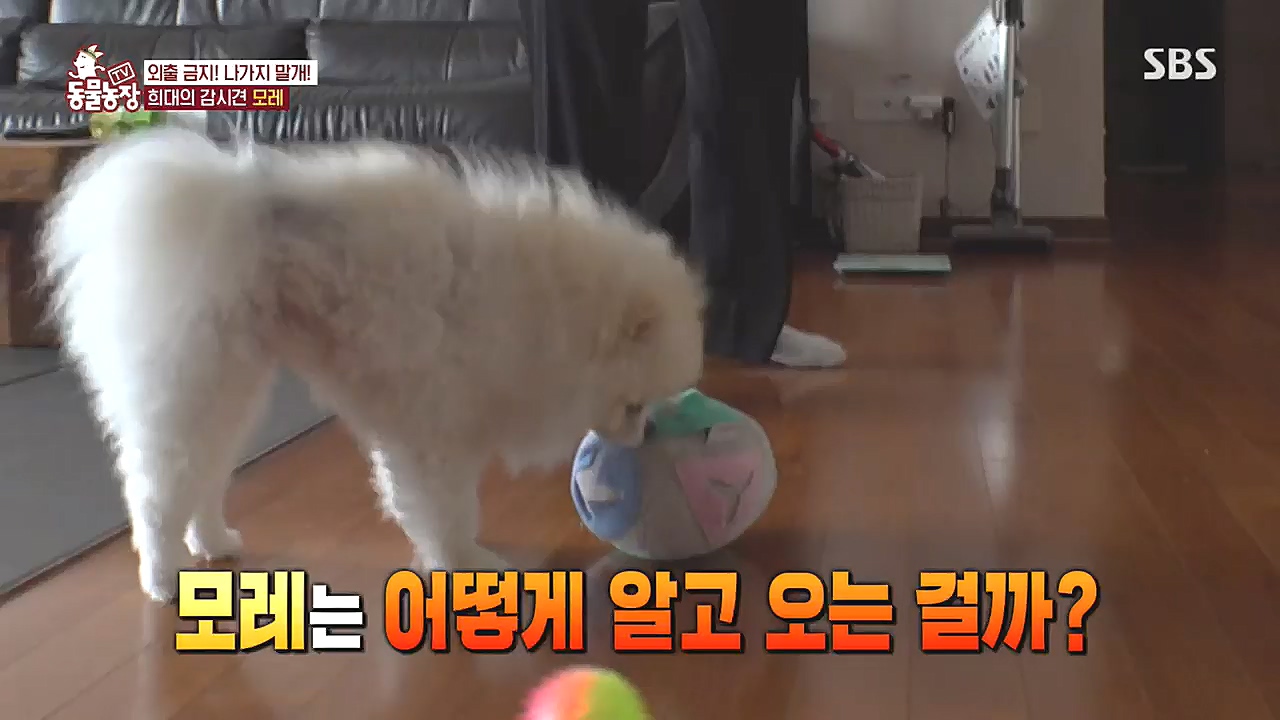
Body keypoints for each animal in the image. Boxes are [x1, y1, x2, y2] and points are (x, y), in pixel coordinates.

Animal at [39, 128, 705, 602]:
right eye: (636, 405)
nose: (650, 430)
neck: (547, 308)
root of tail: (222, 201)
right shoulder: (437, 429)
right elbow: (446, 509)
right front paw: (466, 563)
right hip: (192, 383)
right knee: (156, 495)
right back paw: (163, 578)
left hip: (228, 388)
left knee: (201, 478)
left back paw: (211, 542)